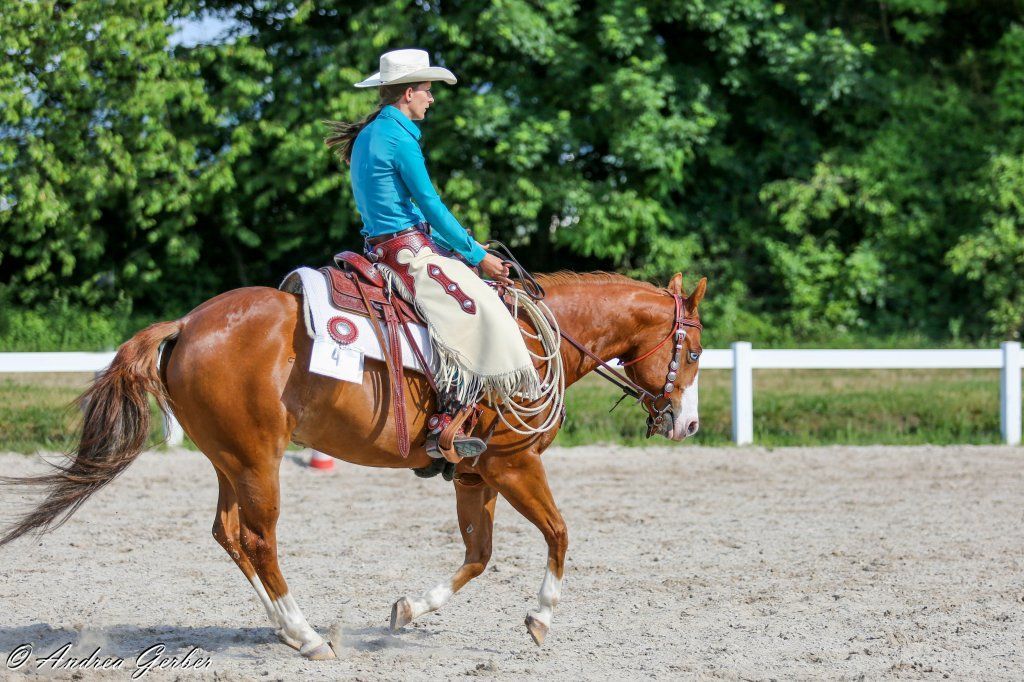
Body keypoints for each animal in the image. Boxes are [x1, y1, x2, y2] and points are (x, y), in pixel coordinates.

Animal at [0, 270, 706, 660]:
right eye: (695, 351)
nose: (688, 424)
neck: (534, 339)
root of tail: (186, 324)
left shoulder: (476, 474)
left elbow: (477, 555)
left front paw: (410, 610)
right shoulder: (514, 465)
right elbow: (559, 535)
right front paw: (540, 618)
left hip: (230, 460)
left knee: (229, 534)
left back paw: (286, 629)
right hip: (257, 460)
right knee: (259, 538)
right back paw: (307, 635)